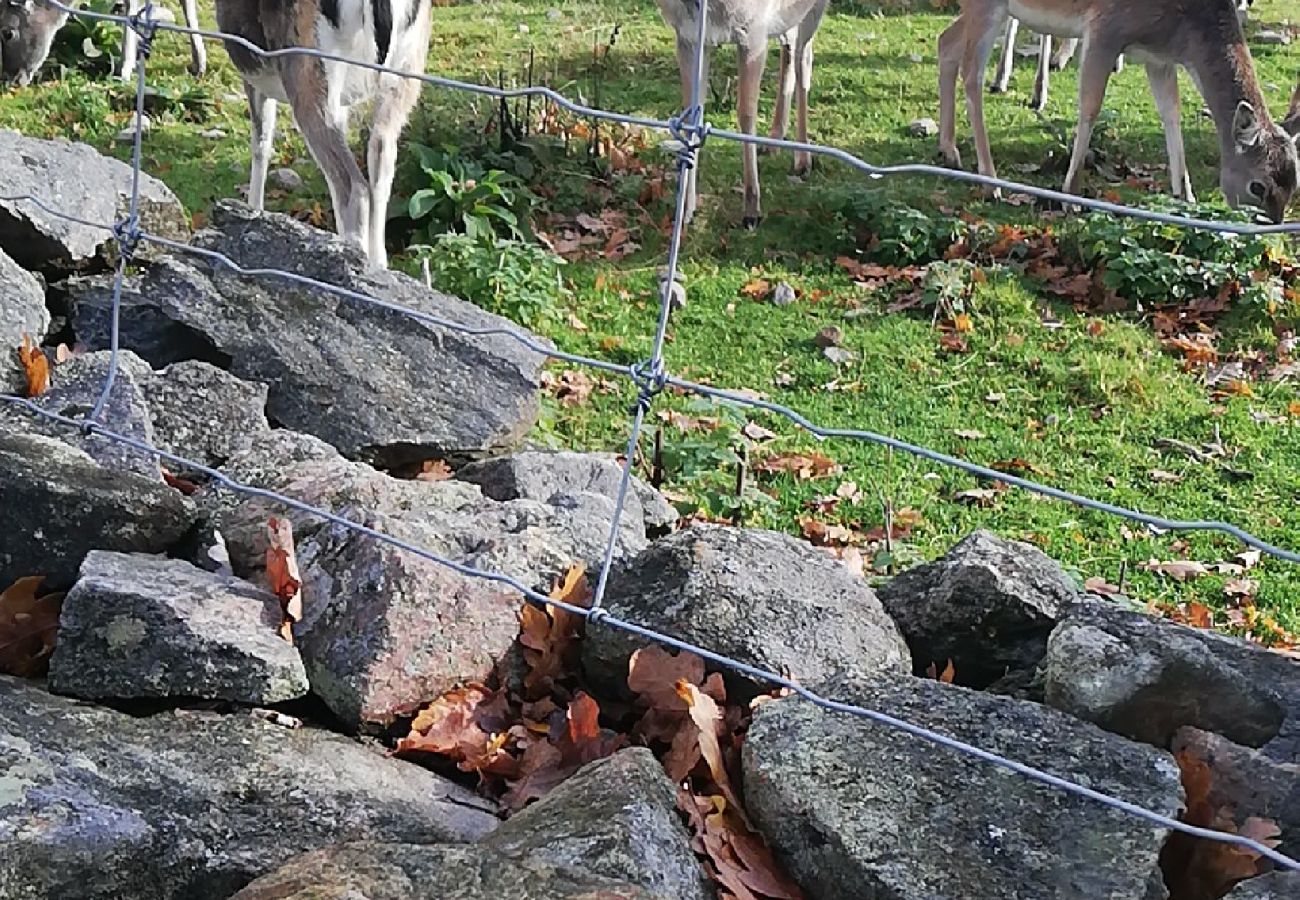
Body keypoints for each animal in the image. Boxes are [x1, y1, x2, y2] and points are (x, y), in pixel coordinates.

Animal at [213, 0, 434, 266]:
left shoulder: (256, 75)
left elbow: (261, 144)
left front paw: (254, 211)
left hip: (309, 73)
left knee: (354, 187)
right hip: (406, 75)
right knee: (380, 163)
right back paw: (377, 264)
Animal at [655, 0, 826, 228]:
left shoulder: (754, 31)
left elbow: (746, 113)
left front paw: (752, 212)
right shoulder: (688, 36)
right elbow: (692, 116)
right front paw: (684, 212)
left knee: (803, 57)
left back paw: (803, 162)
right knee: (790, 46)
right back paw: (773, 143)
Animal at [941, 0, 1294, 223]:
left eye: (1294, 185)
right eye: (1258, 185)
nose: (1269, 227)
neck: (1183, 31)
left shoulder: (1159, 58)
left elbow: (1171, 114)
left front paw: (1186, 195)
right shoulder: (1105, 29)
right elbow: (1090, 107)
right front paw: (1071, 195)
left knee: (946, 43)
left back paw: (950, 152)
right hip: (989, 6)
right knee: (971, 75)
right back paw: (992, 182)